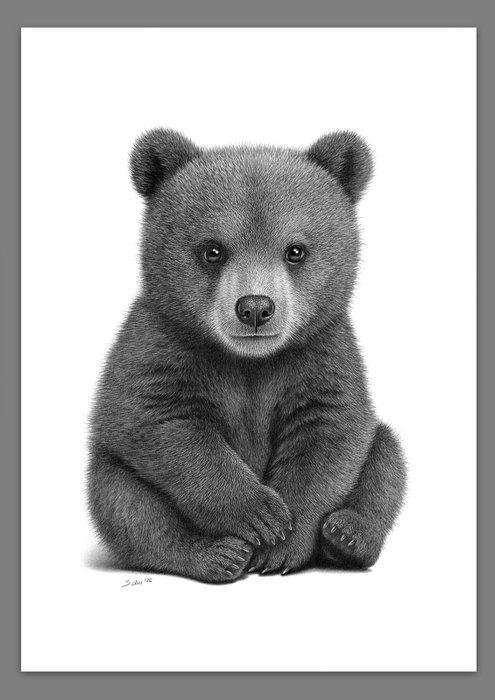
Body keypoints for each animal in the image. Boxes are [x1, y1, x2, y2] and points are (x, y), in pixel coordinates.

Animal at [88, 128, 406, 583]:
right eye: (212, 250)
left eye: (295, 250)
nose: (255, 307)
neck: (250, 359)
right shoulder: (161, 344)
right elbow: (163, 422)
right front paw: (261, 515)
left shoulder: (321, 354)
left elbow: (328, 434)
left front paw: (282, 545)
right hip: (113, 471)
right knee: (124, 503)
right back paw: (217, 555)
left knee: (386, 456)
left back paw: (347, 535)